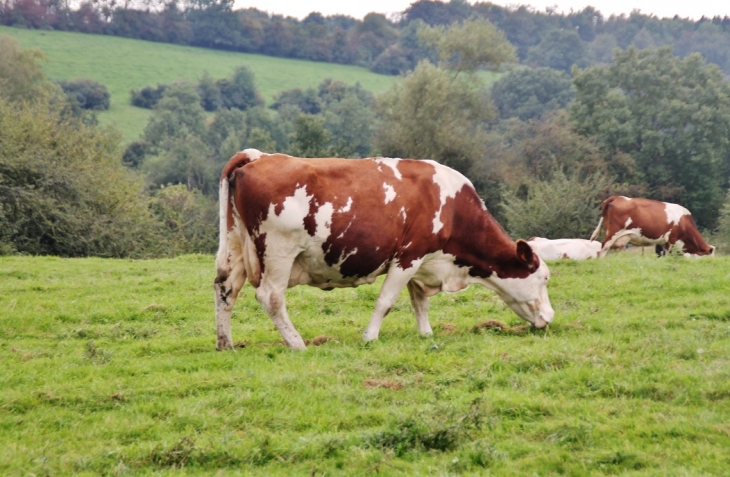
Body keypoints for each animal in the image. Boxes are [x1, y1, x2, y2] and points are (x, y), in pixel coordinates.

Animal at [213, 150, 556, 350]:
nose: (550, 318)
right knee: (271, 297)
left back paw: (225, 343)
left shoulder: (423, 262)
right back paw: (297, 343)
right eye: (545, 278)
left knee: (226, 287)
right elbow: (386, 302)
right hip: (278, 251)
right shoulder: (408, 256)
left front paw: (426, 334)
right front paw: (370, 337)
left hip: (235, 245)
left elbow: (420, 302)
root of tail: (258, 156)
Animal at [584, 195, 712, 258]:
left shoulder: (662, 241)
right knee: (604, 246)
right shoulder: (671, 239)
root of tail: (617, 197)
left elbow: (660, 254)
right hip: (613, 232)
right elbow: (668, 254)